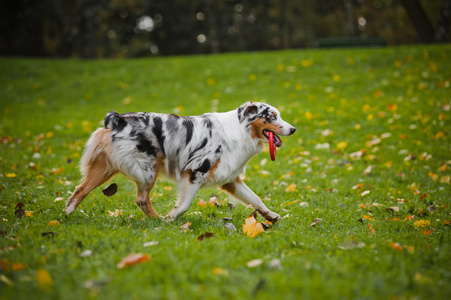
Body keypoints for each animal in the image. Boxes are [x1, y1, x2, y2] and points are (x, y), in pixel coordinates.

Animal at [64, 102, 296, 221]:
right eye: (272, 117)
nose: (293, 129)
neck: (240, 131)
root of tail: (118, 119)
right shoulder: (194, 172)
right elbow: (184, 204)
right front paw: (172, 217)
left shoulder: (230, 179)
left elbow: (256, 199)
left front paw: (271, 216)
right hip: (147, 169)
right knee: (142, 199)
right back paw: (159, 220)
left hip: (104, 169)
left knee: (80, 190)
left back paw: (66, 215)